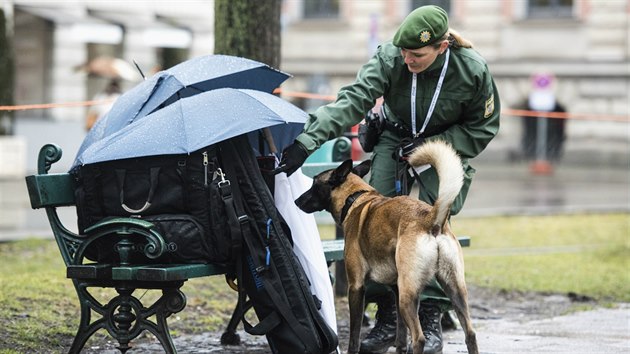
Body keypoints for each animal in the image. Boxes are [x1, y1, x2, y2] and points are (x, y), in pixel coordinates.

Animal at [296, 141, 478, 354]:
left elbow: (354, 335)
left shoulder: (356, 287)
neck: (356, 198)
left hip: (409, 296)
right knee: (470, 333)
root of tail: (431, 218)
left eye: (314, 185)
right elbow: (400, 335)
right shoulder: (395, 289)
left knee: (419, 337)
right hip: (454, 289)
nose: (297, 201)